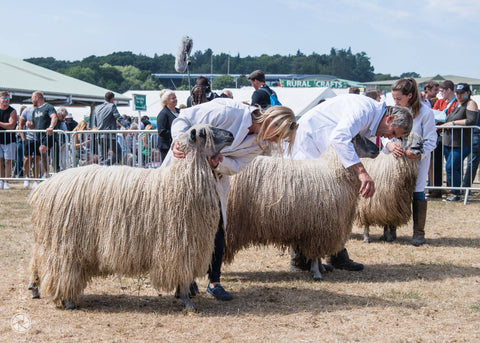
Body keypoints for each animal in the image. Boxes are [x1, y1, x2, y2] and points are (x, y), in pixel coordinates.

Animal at [28, 124, 234, 312]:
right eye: (204, 134)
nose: (231, 135)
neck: (179, 180)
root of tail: (43, 187)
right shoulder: (179, 246)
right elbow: (182, 276)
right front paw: (187, 301)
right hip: (64, 244)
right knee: (59, 269)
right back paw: (67, 301)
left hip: (53, 239)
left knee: (37, 258)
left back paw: (35, 288)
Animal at [224, 133, 378, 280]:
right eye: (357, 137)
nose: (377, 149)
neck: (334, 171)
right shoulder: (319, 227)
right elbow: (315, 254)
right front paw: (317, 273)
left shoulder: (316, 227)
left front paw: (321, 268)